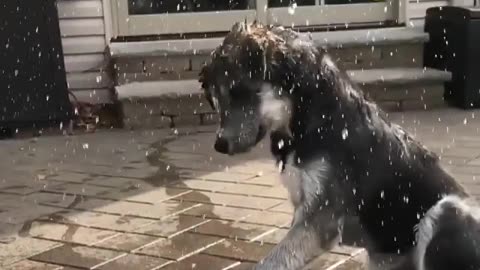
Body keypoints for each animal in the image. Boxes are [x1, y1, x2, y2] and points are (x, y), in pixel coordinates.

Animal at [199, 21, 480, 270]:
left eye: (238, 91)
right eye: (214, 97)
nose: (219, 144)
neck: (311, 119)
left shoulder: (320, 221)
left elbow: (270, 263)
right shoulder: (302, 213)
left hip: (446, 211)